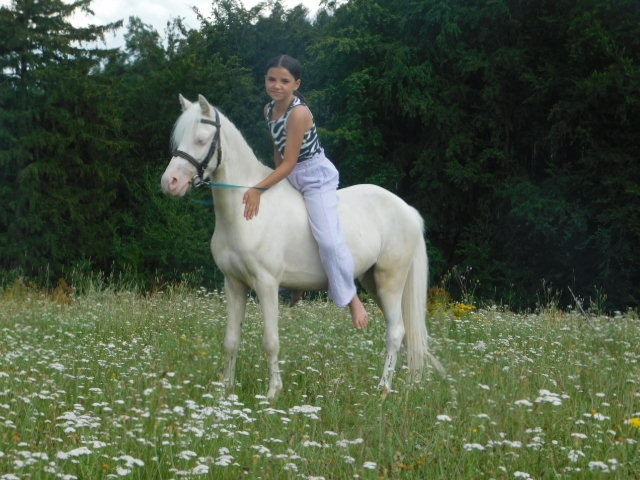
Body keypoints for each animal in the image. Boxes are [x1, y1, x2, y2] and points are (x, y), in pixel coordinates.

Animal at [161, 94, 442, 399]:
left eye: (201, 139)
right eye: (179, 139)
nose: (170, 182)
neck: (244, 208)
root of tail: (407, 210)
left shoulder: (267, 284)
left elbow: (271, 341)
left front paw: (273, 393)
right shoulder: (234, 284)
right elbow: (231, 340)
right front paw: (226, 391)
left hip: (390, 280)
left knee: (396, 331)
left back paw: (383, 389)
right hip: (373, 282)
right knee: (405, 332)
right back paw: (407, 385)